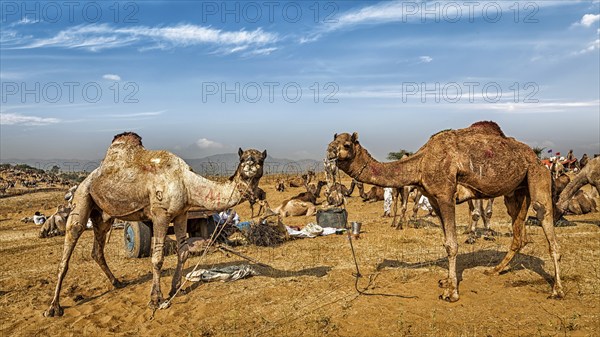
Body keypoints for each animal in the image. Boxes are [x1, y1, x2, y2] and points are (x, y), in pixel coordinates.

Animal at [44, 131, 264, 316]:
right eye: (243, 160)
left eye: (261, 160)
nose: (250, 169)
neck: (185, 182)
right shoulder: (160, 214)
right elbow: (157, 258)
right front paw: (155, 299)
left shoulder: (181, 214)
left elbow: (183, 252)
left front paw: (176, 289)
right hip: (82, 196)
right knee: (71, 241)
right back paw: (54, 307)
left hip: (104, 214)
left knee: (97, 249)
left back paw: (117, 282)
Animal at [326, 121, 564, 302]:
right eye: (332, 142)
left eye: (347, 144)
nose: (330, 152)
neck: (421, 162)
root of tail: (536, 158)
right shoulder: (433, 198)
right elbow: (446, 241)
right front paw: (447, 281)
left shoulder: (445, 195)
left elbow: (452, 244)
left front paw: (451, 292)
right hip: (516, 191)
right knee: (518, 233)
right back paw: (495, 270)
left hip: (537, 175)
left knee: (545, 221)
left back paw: (557, 290)